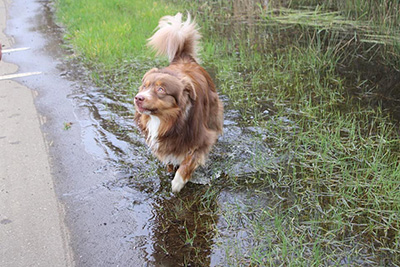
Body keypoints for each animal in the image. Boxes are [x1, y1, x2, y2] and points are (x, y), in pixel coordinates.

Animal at [134, 13, 222, 193]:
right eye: (145, 86)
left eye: (161, 89)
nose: (138, 98)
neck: (167, 120)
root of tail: (184, 57)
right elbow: (169, 157)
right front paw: (171, 171)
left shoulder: (201, 137)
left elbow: (190, 159)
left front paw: (178, 182)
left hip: (213, 112)